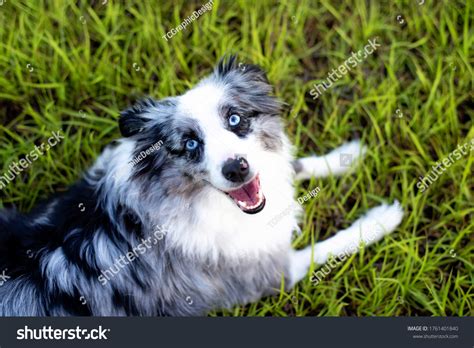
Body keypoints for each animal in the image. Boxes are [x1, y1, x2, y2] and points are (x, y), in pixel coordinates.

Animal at [0, 56, 404, 316]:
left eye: (235, 119)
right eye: (191, 143)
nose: (237, 169)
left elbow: (295, 163)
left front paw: (347, 156)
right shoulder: (269, 273)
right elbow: (330, 247)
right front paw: (381, 220)